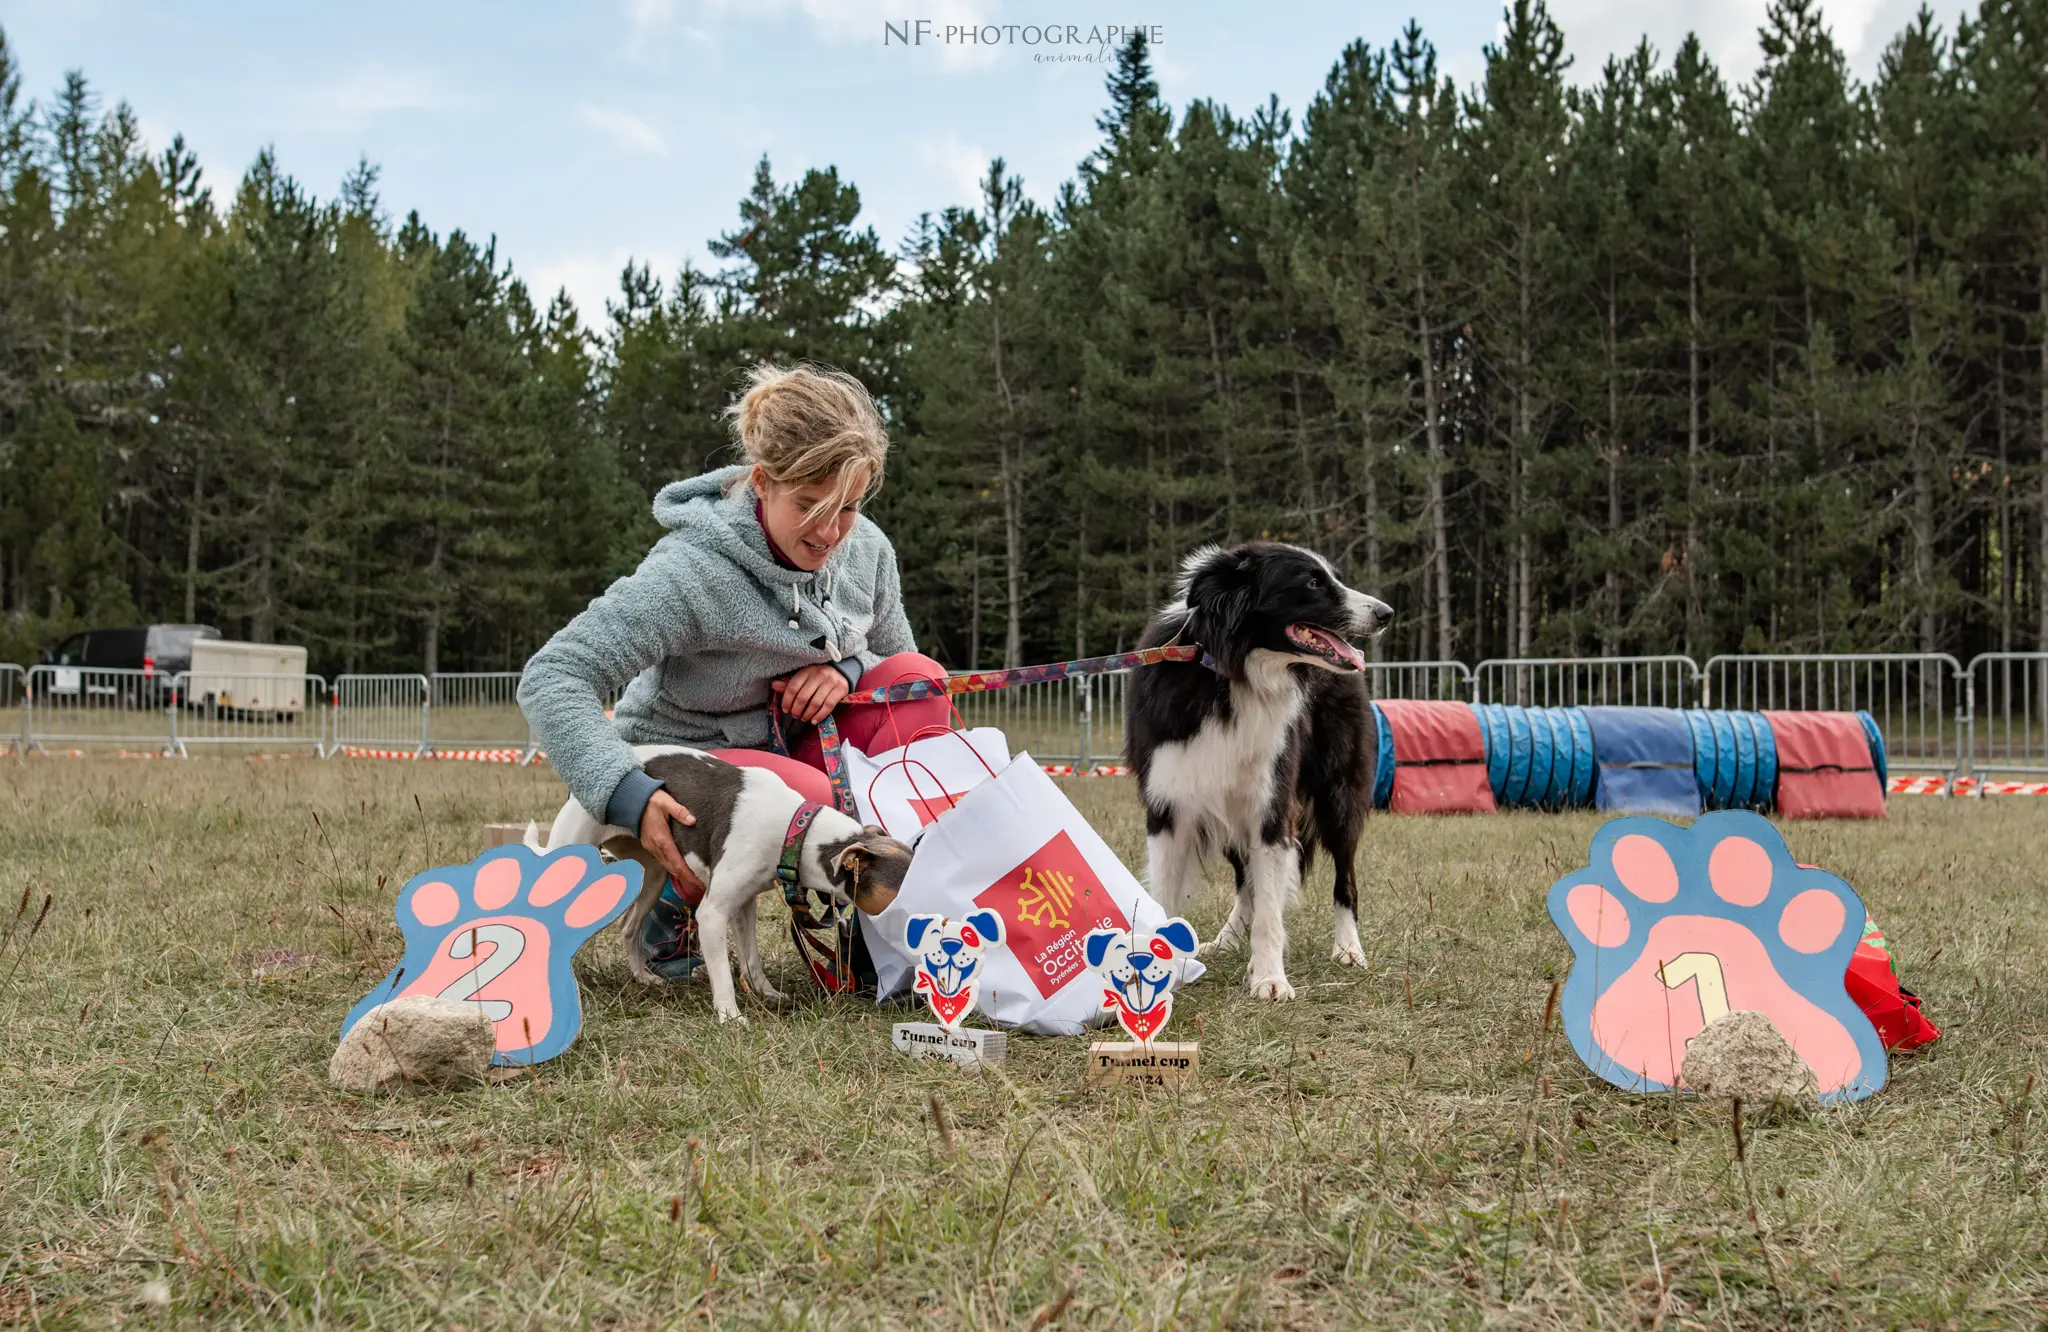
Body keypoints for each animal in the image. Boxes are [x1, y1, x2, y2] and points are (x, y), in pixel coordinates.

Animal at [528, 741, 913, 1020]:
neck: (795, 830)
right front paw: (730, 1016)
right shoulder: (712, 914)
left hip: (654, 873)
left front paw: (767, 994)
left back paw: (643, 977)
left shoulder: (744, 904)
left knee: (629, 925)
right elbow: (723, 973)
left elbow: (751, 959)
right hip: (570, 859)